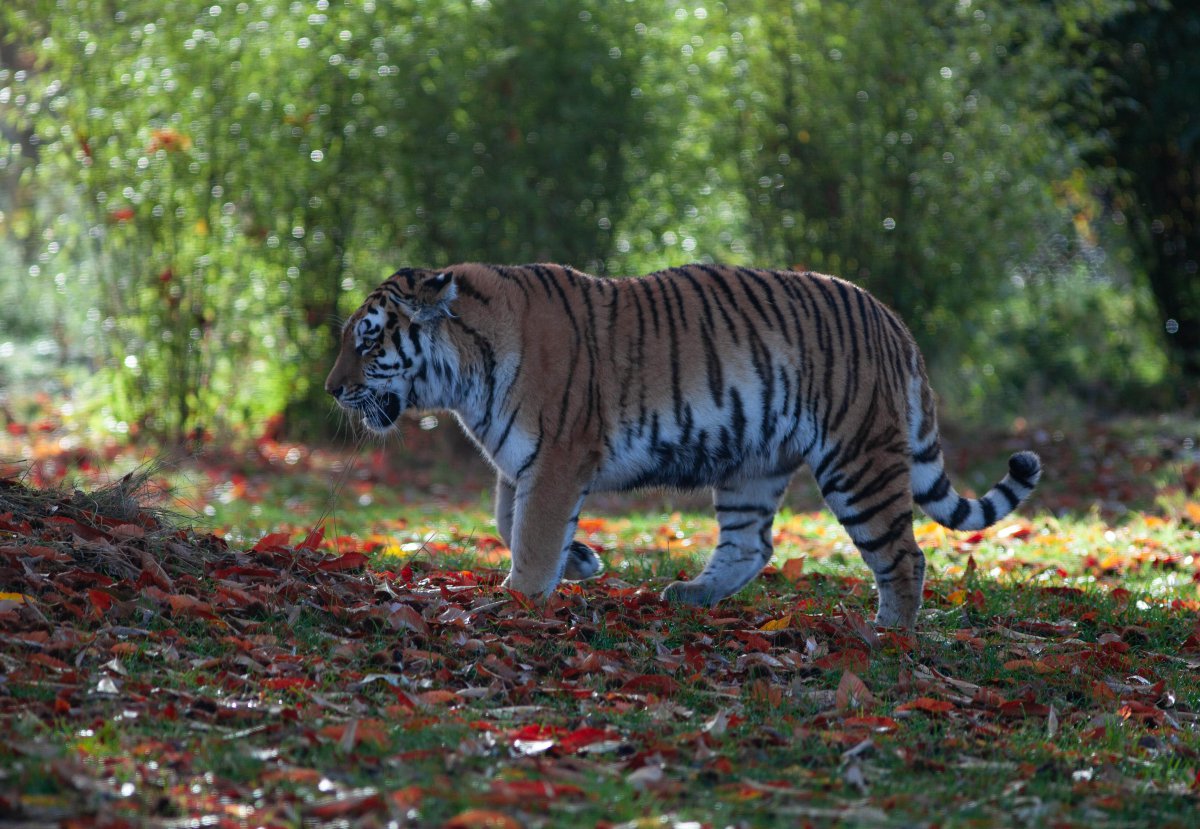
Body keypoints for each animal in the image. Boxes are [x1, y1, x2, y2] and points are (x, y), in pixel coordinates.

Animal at [326, 262, 1041, 623]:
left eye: (368, 338)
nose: (332, 390)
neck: (463, 374)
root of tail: (893, 320)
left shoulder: (556, 457)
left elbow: (529, 533)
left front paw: (518, 597)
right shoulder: (521, 462)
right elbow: (508, 521)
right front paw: (579, 562)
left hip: (857, 460)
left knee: (904, 557)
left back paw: (886, 637)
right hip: (753, 465)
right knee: (752, 546)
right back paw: (691, 595)